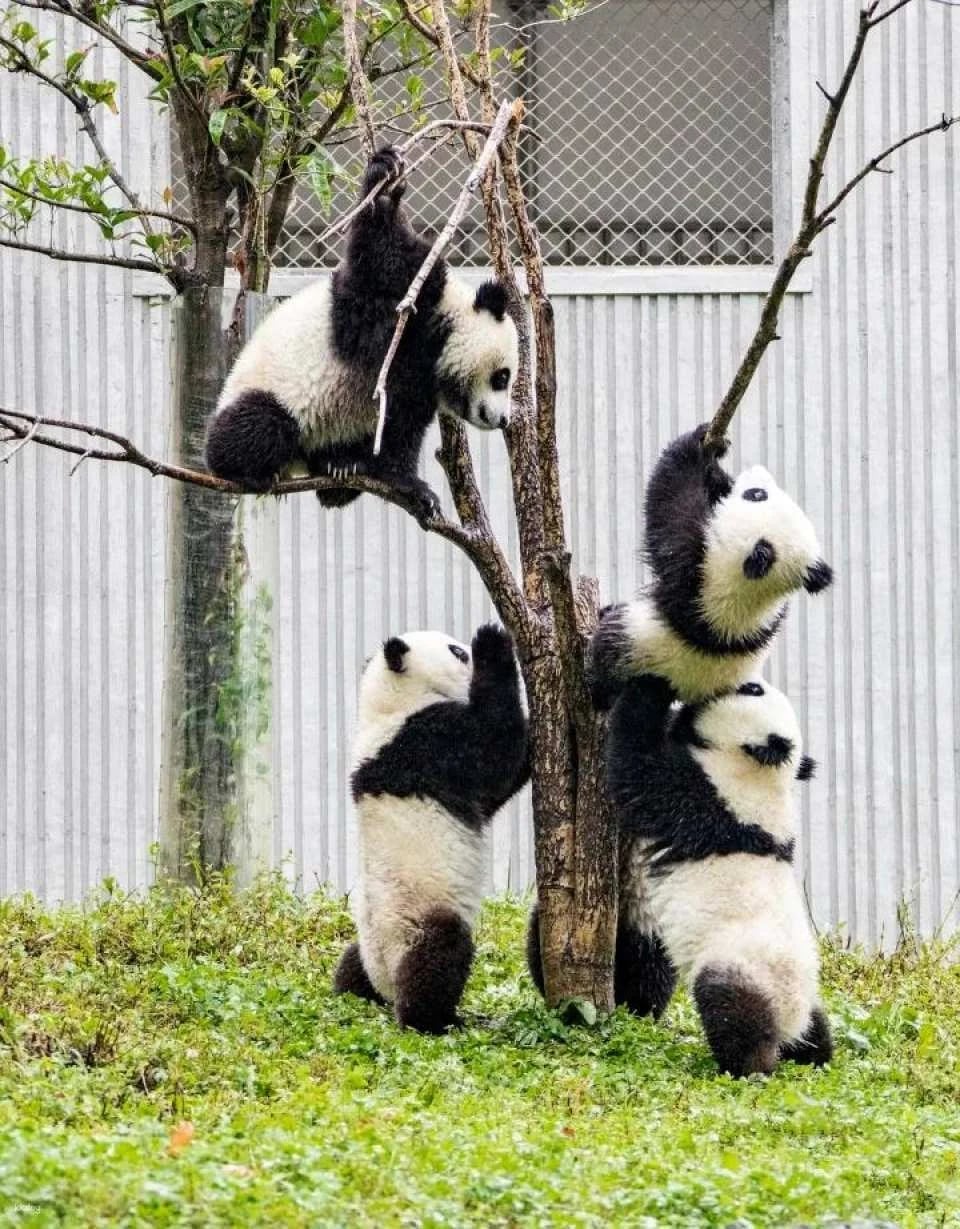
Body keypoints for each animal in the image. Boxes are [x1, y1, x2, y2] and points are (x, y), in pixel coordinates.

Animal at [205, 146, 519, 515]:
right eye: (502, 377)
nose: (503, 420)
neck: (440, 329)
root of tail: (296, 464)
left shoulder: (418, 386)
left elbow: (399, 430)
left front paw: (410, 487)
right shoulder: (398, 305)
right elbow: (379, 258)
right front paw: (384, 183)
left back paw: (340, 468)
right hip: (266, 391)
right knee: (259, 424)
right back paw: (247, 471)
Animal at [333, 623, 529, 1033]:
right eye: (457, 652)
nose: (467, 647)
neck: (393, 704)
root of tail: (386, 983)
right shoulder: (430, 744)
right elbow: (497, 752)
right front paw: (493, 641)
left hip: (367, 941)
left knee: (350, 963)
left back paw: (353, 989)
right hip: (418, 920)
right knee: (439, 958)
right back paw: (437, 1019)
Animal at [587, 425, 833, 707]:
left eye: (755, 494)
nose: (755, 472)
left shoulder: (698, 574)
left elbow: (669, 506)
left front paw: (694, 445)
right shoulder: (769, 619)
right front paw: (715, 461)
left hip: (633, 648)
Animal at [606, 671, 833, 1077]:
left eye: (752, 690)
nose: (750, 678)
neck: (762, 774)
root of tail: (788, 1019)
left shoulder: (709, 800)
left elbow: (636, 766)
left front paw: (653, 685)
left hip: (740, 967)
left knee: (732, 1012)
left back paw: (748, 1066)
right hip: (807, 996)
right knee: (815, 1030)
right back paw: (815, 1056)